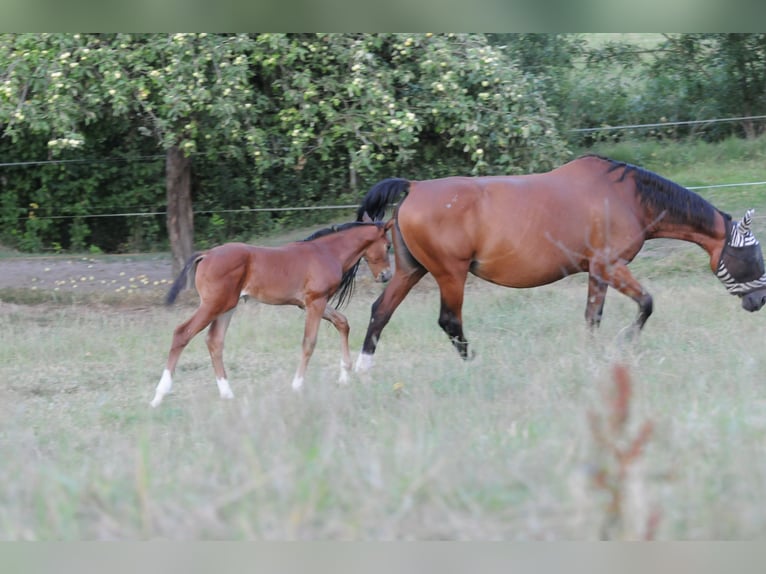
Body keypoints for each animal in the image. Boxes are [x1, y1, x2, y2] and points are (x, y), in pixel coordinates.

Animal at [150, 216, 393, 407]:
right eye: (388, 245)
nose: (386, 275)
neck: (327, 252)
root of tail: (207, 254)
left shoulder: (310, 303)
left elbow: (342, 322)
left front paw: (345, 376)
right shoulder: (315, 301)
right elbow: (309, 342)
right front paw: (297, 386)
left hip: (227, 307)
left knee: (214, 341)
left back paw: (227, 394)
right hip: (213, 305)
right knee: (182, 333)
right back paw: (159, 396)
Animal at [353, 154, 766, 372]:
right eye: (752, 254)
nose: (758, 300)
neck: (629, 198)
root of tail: (415, 187)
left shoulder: (597, 272)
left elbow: (592, 317)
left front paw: (592, 357)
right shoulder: (611, 266)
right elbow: (647, 304)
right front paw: (624, 341)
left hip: (410, 271)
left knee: (380, 312)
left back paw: (359, 371)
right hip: (450, 274)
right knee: (449, 322)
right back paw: (476, 366)